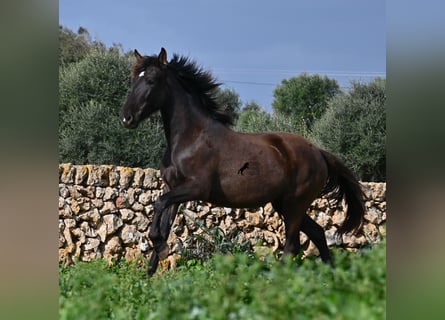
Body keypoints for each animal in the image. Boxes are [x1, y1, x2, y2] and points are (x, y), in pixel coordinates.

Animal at [119, 47, 364, 276]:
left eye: (151, 80)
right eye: (133, 80)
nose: (126, 118)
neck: (190, 138)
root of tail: (319, 152)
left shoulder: (196, 188)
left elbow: (159, 204)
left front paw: (159, 247)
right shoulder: (174, 189)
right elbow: (164, 223)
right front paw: (149, 273)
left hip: (295, 204)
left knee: (292, 244)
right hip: (284, 203)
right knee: (318, 233)